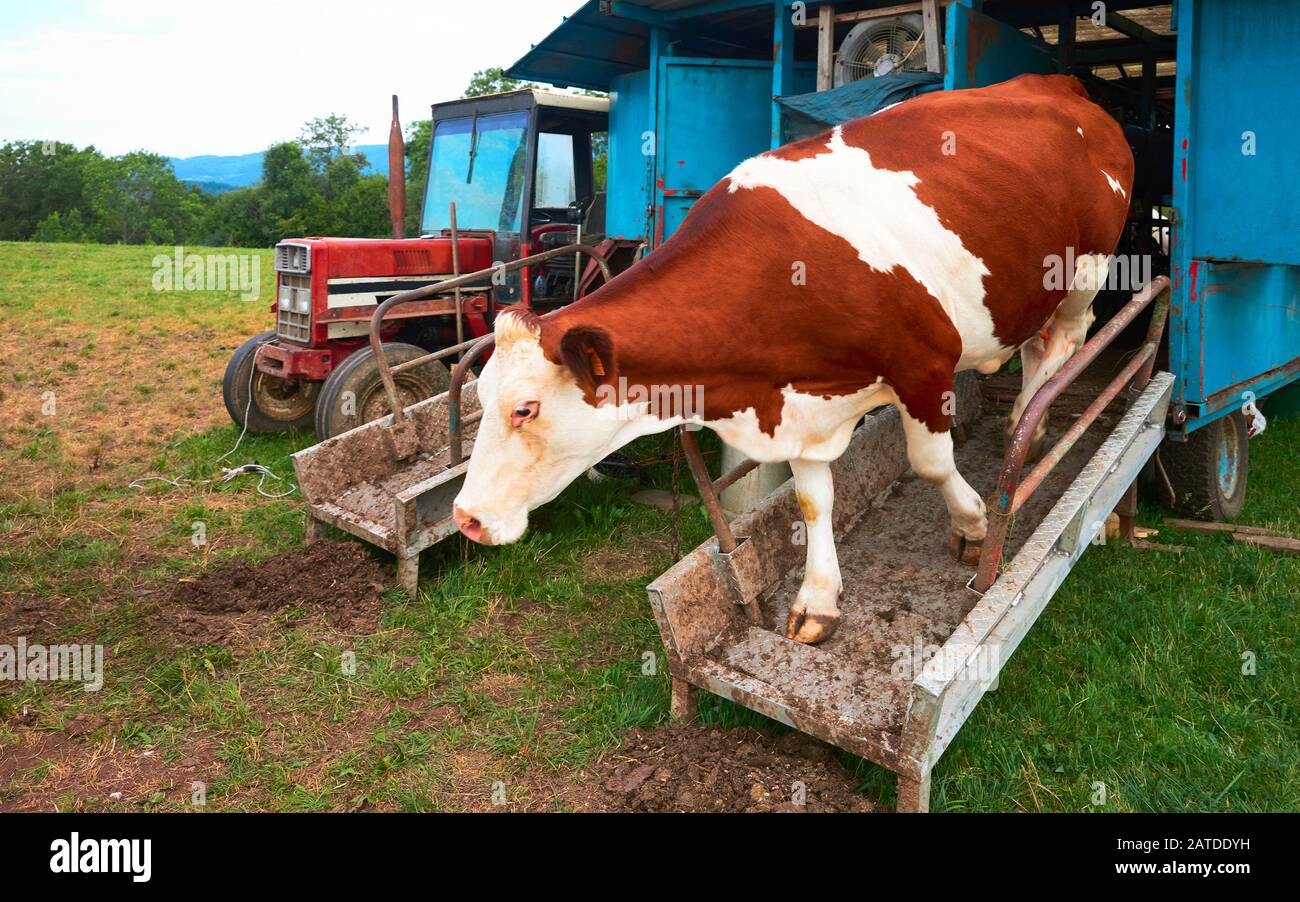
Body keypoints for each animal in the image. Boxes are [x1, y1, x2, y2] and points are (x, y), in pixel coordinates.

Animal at [452, 74, 1134, 645]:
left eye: (525, 408)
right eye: (479, 399)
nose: (466, 519)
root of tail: (1055, 82)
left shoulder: (924, 368)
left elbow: (932, 463)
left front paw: (972, 527)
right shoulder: (800, 403)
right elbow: (813, 500)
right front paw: (818, 600)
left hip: (1086, 269)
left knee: (1067, 341)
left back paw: (1031, 423)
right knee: (1035, 344)